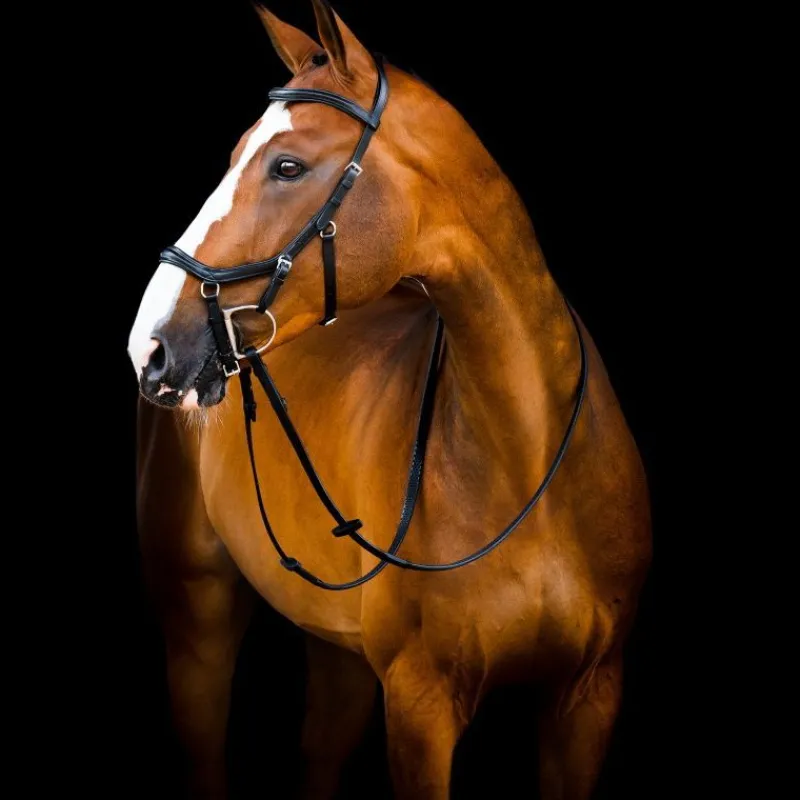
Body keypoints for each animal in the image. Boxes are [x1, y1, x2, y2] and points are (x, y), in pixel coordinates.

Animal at [129, 3, 652, 798]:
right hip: (199, 619)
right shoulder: (419, 706)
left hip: (338, 651)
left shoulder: (589, 696)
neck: (527, 461)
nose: (149, 344)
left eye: (286, 165)